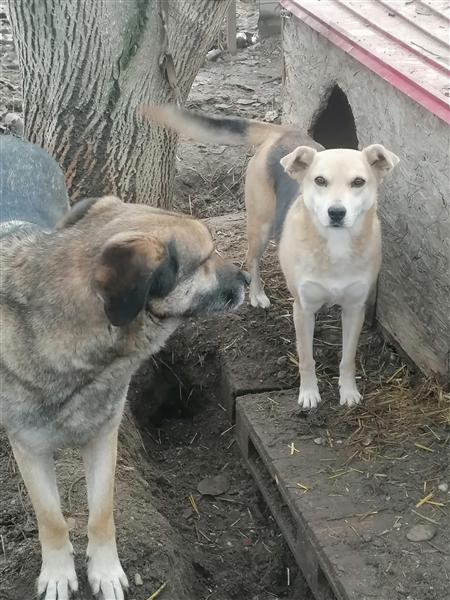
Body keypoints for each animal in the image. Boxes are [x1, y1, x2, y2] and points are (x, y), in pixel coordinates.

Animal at [0, 135, 250, 600]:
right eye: (207, 258)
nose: (245, 278)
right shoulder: (29, 447)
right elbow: (51, 518)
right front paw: (58, 572)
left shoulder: (105, 435)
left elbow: (101, 512)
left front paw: (105, 571)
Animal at [141, 105, 400, 409]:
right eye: (320, 181)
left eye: (358, 182)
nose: (336, 213)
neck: (335, 246)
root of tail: (282, 132)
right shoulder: (302, 310)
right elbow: (306, 358)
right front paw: (309, 393)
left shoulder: (354, 309)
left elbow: (348, 358)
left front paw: (348, 391)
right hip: (260, 227)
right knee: (251, 260)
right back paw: (257, 295)